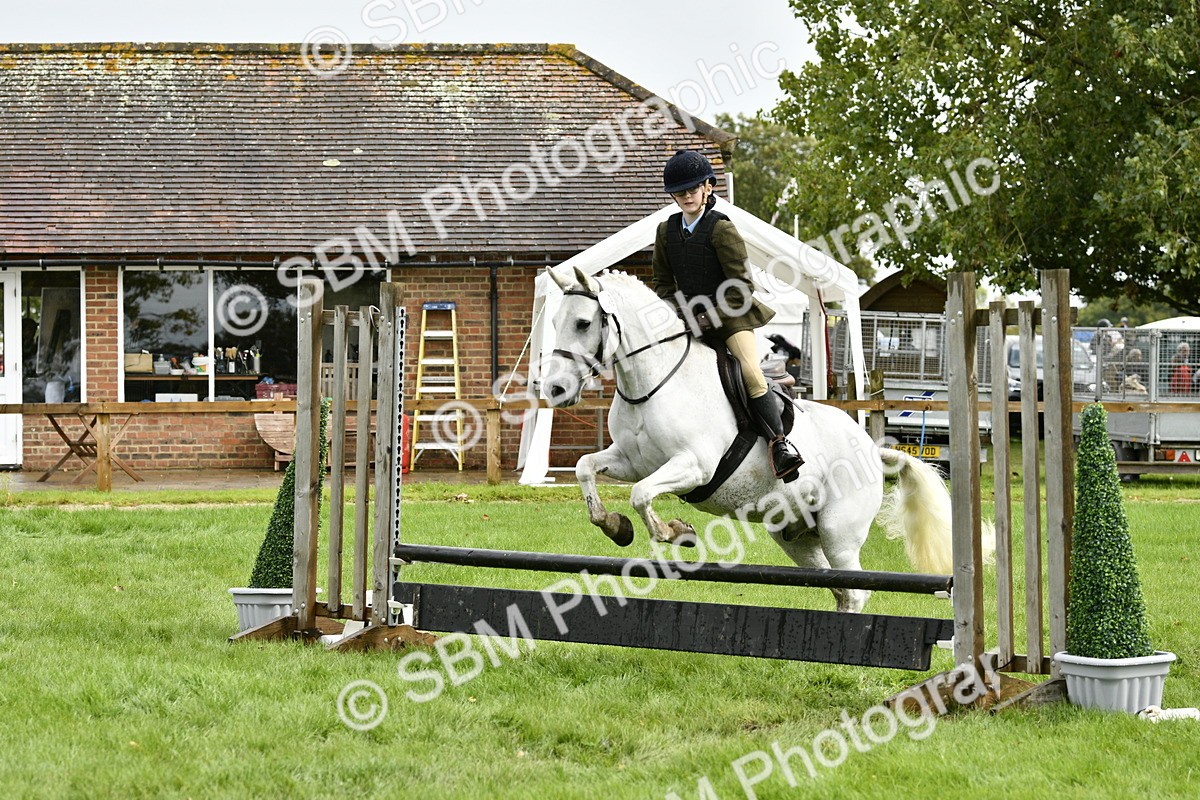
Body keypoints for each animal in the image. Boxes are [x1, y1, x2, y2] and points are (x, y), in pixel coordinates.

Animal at [542, 267, 954, 614]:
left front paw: (676, 532)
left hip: (839, 533)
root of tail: (872, 449)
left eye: (583, 323)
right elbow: (585, 468)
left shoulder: (694, 467)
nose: (555, 390)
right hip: (797, 537)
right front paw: (615, 526)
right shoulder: (631, 461)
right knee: (838, 588)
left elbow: (641, 494)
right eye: (554, 322)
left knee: (854, 590)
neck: (652, 381)